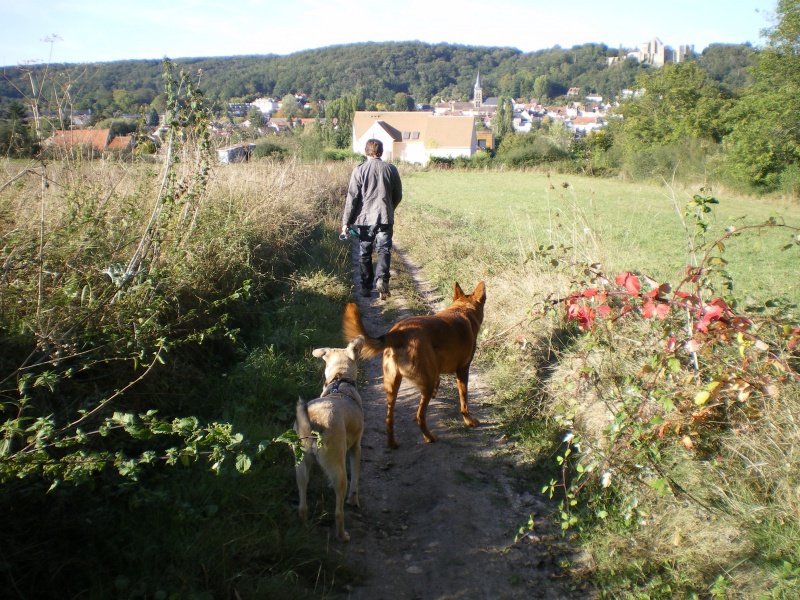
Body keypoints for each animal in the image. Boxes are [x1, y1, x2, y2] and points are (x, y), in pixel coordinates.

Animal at [296, 336, 364, 540]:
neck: (340, 380)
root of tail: (313, 423)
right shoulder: (356, 448)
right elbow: (355, 480)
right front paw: (354, 500)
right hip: (340, 472)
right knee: (338, 512)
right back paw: (343, 536)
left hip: (301, 467)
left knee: (302, 506)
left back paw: (303, 526)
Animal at [340, 280, 484, 446]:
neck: (462, 310)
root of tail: (398, 333)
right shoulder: (463, 371)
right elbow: (464, 401)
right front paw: (469, 421)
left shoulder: (436, 369)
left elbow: (439, 380)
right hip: (423, 386)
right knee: (419, 416)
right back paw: (429, 437)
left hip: (392, 386)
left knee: (389, 419)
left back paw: (392, 443)